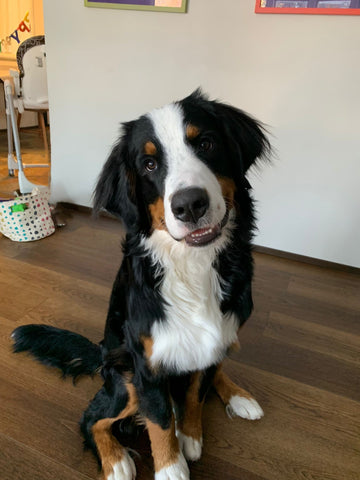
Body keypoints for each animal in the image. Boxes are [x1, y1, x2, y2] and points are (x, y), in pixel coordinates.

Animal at [11, 90, 270, 480]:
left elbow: (196, 392)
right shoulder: (146, 364)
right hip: (123, 374)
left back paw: (240, 397)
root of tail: (101, 352)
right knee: (92, 417)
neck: (192, 265)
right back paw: (116, 460)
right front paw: (171, 467)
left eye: (206, 144)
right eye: (148, 164)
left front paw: (190, 435)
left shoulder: (215, 339)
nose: (189, 205)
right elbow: (160, 422)